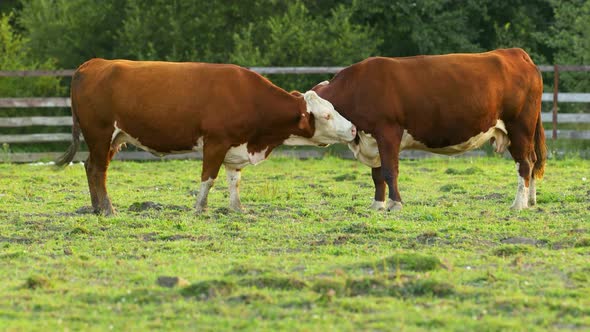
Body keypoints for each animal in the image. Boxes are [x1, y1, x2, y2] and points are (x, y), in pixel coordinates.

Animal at [56, 59, 356, 215]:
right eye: (327, 115)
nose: (353, 129)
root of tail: (93, 64)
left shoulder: (236, 146)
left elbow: (234, 181)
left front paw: (237, 208)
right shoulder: (215, 142)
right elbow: (208, 178)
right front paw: (199, 208)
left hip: (114, 138)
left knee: (91, 167)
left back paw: (97, 207)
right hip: (100, 133)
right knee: (98, 169)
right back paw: (107, 209)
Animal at [314, 48, 552, 210]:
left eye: (324, 114)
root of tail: (514, 53)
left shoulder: (388, 132)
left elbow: (390, 171)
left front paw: (395, 204)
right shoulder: (372, 139)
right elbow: (377, 175)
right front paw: (377, 205)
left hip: (519, 126)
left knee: (524, 163)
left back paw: (518, 204)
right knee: (531, 160)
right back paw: (531, 200)